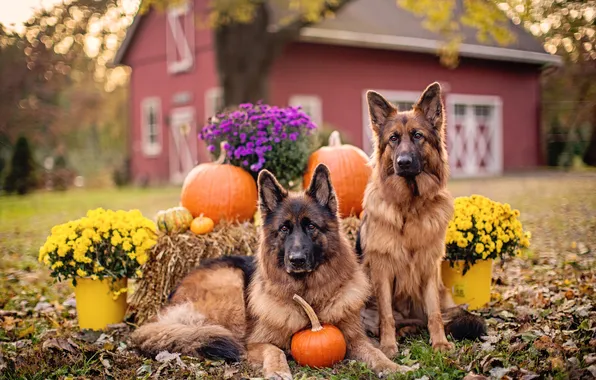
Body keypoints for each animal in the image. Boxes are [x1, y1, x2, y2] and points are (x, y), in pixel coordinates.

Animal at [132, 166, 410, 380]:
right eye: (284, 229)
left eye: (311, 226)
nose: (296, 260)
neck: (308, 299)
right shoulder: (254, 343)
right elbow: (273, 350)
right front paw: (278, 370)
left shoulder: (353, 337)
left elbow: (374, 352)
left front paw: (392, 366)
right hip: (231, 287)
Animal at [356, 81, 486, 358]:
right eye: (393, 138)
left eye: (418, 136)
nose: (403, 162)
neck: (410, 206)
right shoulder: (382, 271)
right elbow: (386, 316)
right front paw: (388, 345)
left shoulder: (429, 267)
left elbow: (435, 314)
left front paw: (439, 343)